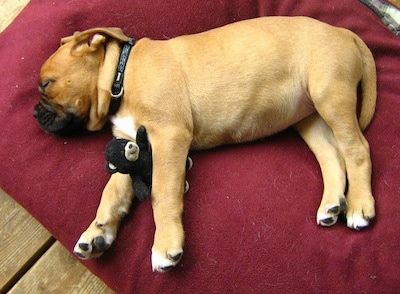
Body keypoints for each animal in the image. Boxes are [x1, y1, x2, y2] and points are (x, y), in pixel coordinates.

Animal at [33, 17, 376, 272]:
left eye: (47, 84)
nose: (35, 114)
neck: (121, 74)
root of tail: (343, 32)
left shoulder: (168, 137)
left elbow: (162, 194)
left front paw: (165, 245)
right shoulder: (132, 147)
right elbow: (113, 192)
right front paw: (97, 232)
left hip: (330, 94)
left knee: (357, 150)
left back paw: (359, 206)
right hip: (309, 116)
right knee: (333, 156)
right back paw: (332, 204)